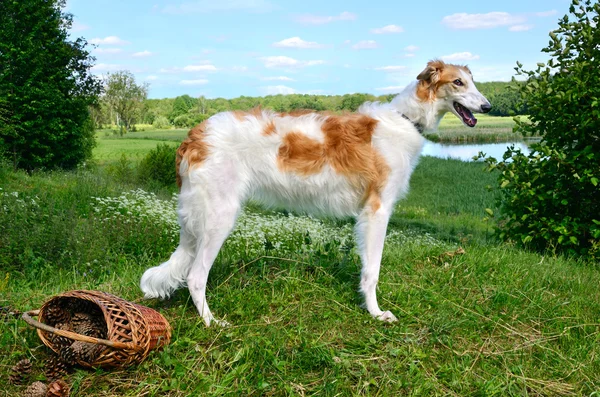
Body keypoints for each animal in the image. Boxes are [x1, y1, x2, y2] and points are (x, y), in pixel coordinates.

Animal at [142, 58, 492, 324]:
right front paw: (376, 313)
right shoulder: (377, 210)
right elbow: (373, 271)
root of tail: (194, 137)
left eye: (472, 82)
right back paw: (212, 322)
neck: (405, 120)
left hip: (200, 220)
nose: (488, 106)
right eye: (458, 82)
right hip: (219, 218)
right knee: (195, 277)